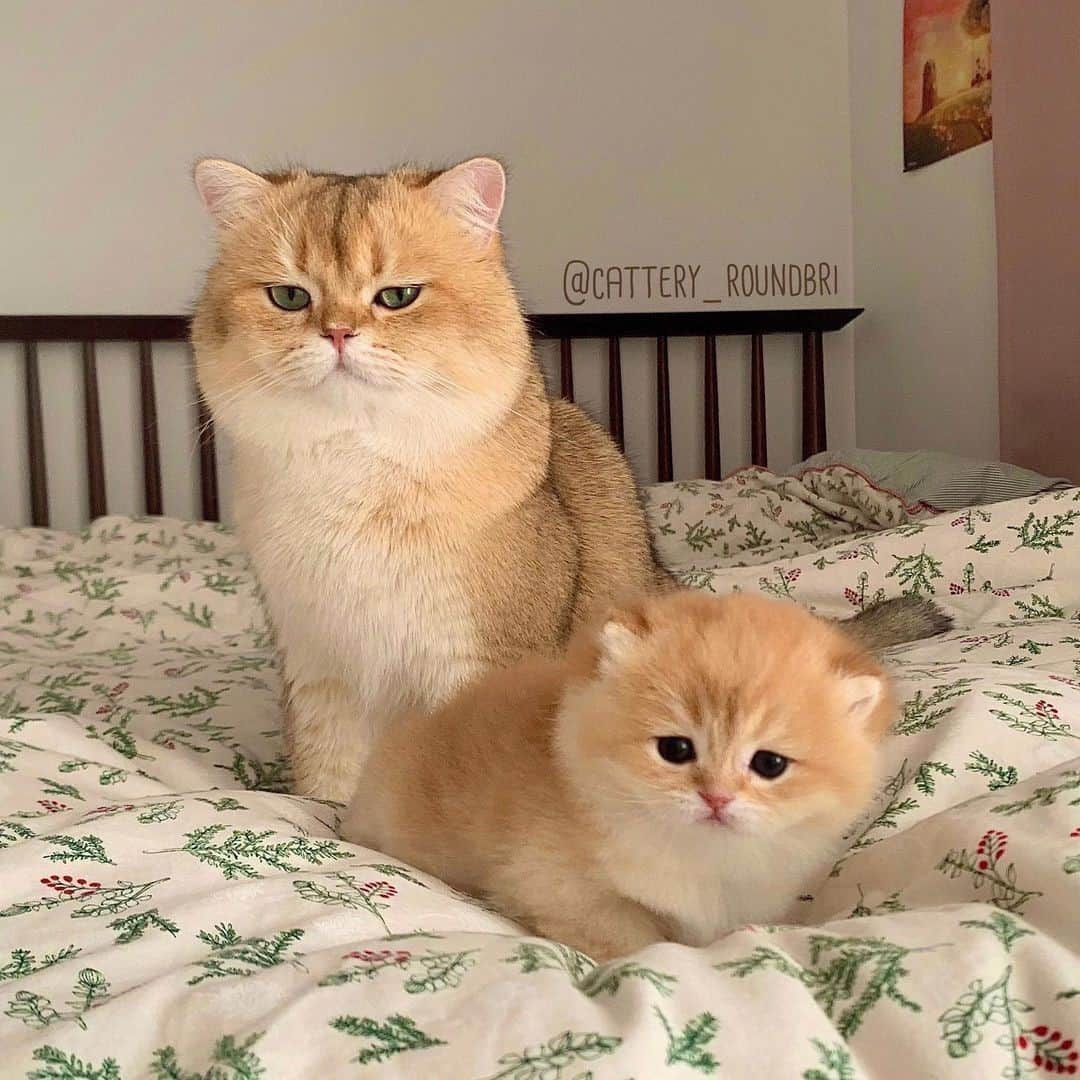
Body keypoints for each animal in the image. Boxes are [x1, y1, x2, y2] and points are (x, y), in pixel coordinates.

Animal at [190, 157, 950, 803]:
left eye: (397, 296)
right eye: (289, 296)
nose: (338, 333)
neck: (356, 469)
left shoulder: (476, 660)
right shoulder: (319, 667)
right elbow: (326, 781)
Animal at [343, 591, 894, 963]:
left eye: (769, 764)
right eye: (675, 749)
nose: (716, 798)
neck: (700, 856)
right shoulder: (558, 887)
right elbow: (632, 940)